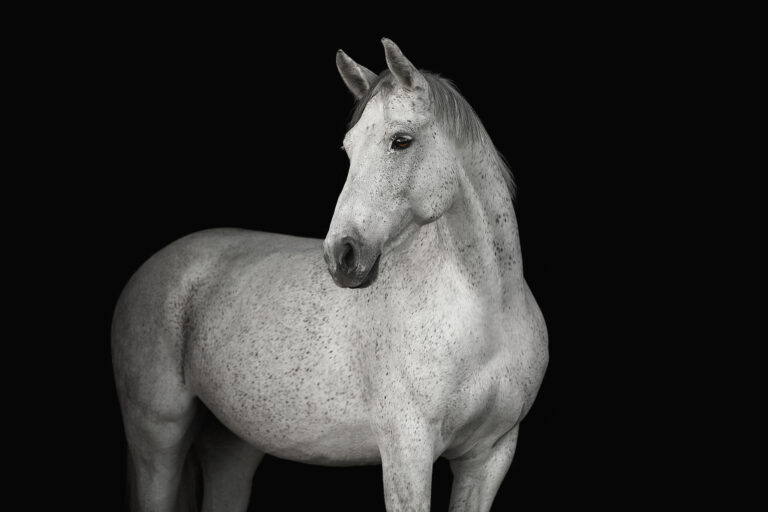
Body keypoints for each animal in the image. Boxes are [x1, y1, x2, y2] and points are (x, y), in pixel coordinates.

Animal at [112, 38, 548, 512]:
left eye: (401, 141)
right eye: (348, 148)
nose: (342, 254)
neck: (489, 315)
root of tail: (152, 269)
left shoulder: (488, 458)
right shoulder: (408, 454)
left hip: (233, 443)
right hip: (158, 436)